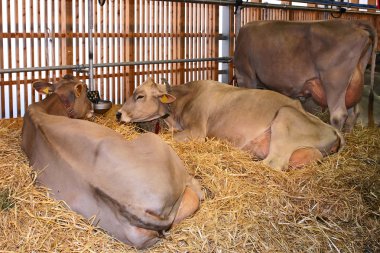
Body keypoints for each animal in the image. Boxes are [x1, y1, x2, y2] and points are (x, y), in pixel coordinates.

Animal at [116, 78, 344, 171]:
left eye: (140, 95)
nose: (118, 114)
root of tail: (332, 129)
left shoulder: (197, 131)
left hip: (285, 117)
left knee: (272, 164)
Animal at [235, 19, 378, 131]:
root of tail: (353, 23)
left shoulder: (245, 74)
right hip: (352, 83)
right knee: (352, 113)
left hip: (334, 82)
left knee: (338, 115)